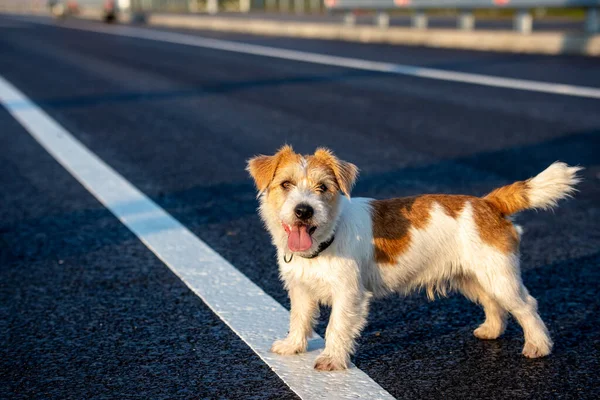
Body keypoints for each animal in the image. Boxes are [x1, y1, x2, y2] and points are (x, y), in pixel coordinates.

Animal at [246, 145, 580, 370]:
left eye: (323, 187)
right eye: (286, 184)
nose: (304, 210)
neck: (327, 236)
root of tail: (488, 203)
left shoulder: (348, 294)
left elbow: (335, 327)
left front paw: (331, 360)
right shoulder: (301, 289)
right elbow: (299, 319)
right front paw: (293, 346)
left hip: (500, 277)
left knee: (526, 306)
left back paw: (538, 345)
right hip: (473, 277)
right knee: (493, 304)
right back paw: (491, 330)